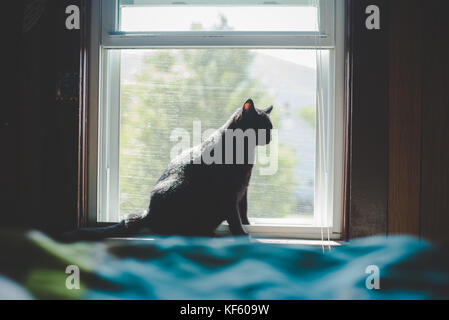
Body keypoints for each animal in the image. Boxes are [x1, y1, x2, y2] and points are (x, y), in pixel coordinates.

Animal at [64, 99, 272, 241]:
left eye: (270, 127)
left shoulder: (243, 187)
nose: (270, 137)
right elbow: (234, 216)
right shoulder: (230, 193)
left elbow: (243, 209)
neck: (245, 150)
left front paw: (247, 224)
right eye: (263, 127)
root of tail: (148, 212)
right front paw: (242, 234)